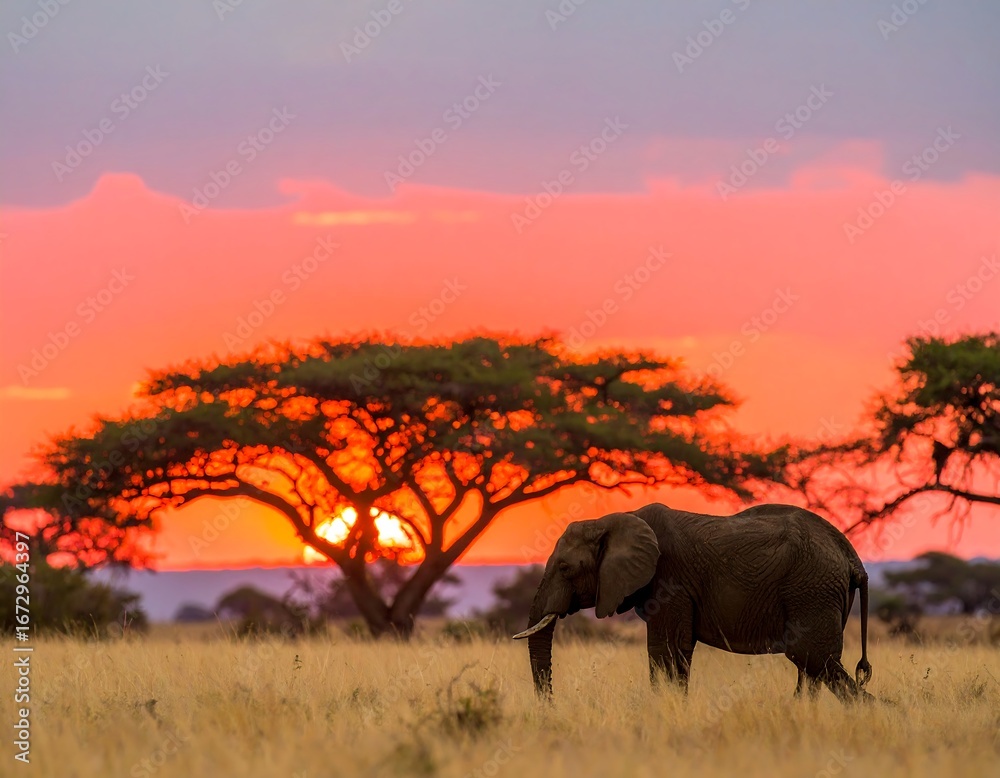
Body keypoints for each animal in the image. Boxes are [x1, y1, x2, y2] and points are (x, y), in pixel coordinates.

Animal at [514, 503, 873, 702]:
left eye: (565, 568)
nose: (550, 707)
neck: (614, 519)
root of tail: (850, 554)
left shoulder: (671, 581)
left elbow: (665, 649)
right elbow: (678, 652)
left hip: (811, 588)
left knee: (811, 657)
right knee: (813, 666)